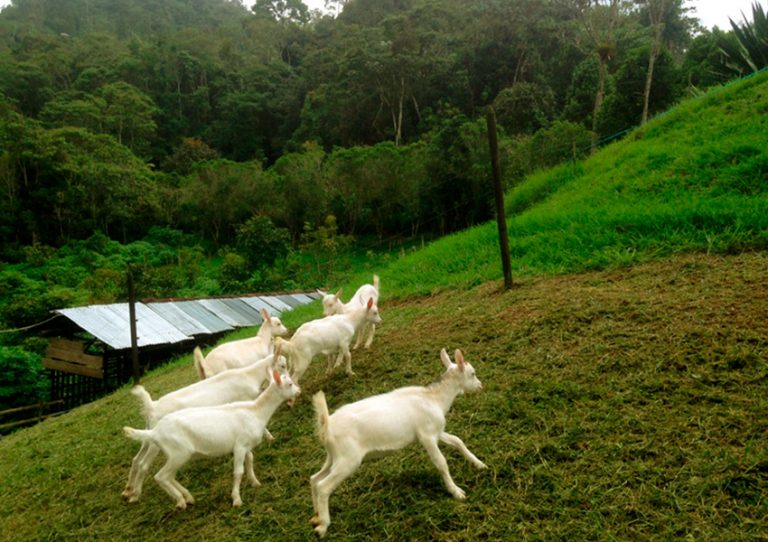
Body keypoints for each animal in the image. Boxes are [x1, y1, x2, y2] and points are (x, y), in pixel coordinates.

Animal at [121, 346, 286, 504]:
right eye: (283, 365)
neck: (249, 375)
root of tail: (152, 406)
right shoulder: (245, 401)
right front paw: (270, 437)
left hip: (148, 436)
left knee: (136, 460)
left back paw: (129, 491)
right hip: (158, 444)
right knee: (144, 464)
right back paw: (137, 495)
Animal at [308, 350, 484, 536]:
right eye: (472, 373)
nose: (481, 386)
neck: (434, 399)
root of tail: (327, 426)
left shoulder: (436, 432)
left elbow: (458, 441)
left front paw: (479, 464)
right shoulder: (427, 436)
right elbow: (441, 463)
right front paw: (456, 492)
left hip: (334, 456)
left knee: (314, 479)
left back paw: (316, 516)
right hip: (349, 459)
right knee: (323, 486)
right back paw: (322, 527)